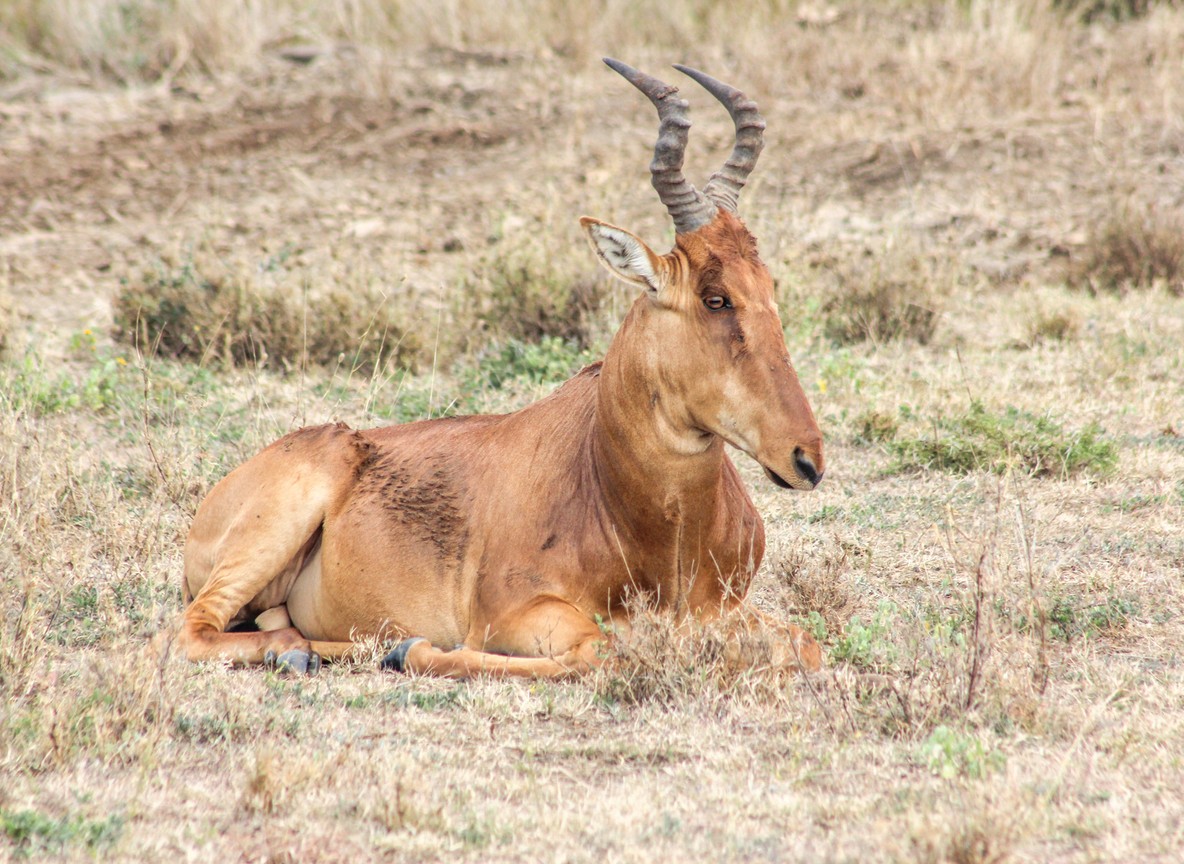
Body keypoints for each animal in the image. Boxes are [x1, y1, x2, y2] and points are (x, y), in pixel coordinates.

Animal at [176, 59, 825, 678]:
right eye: (715, 298)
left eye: (766, 285)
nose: (807, 460)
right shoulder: (510, 615)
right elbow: (597, 652)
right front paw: (409, 652)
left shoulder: (727, 609)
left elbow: (806, 644)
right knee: (189, 632)